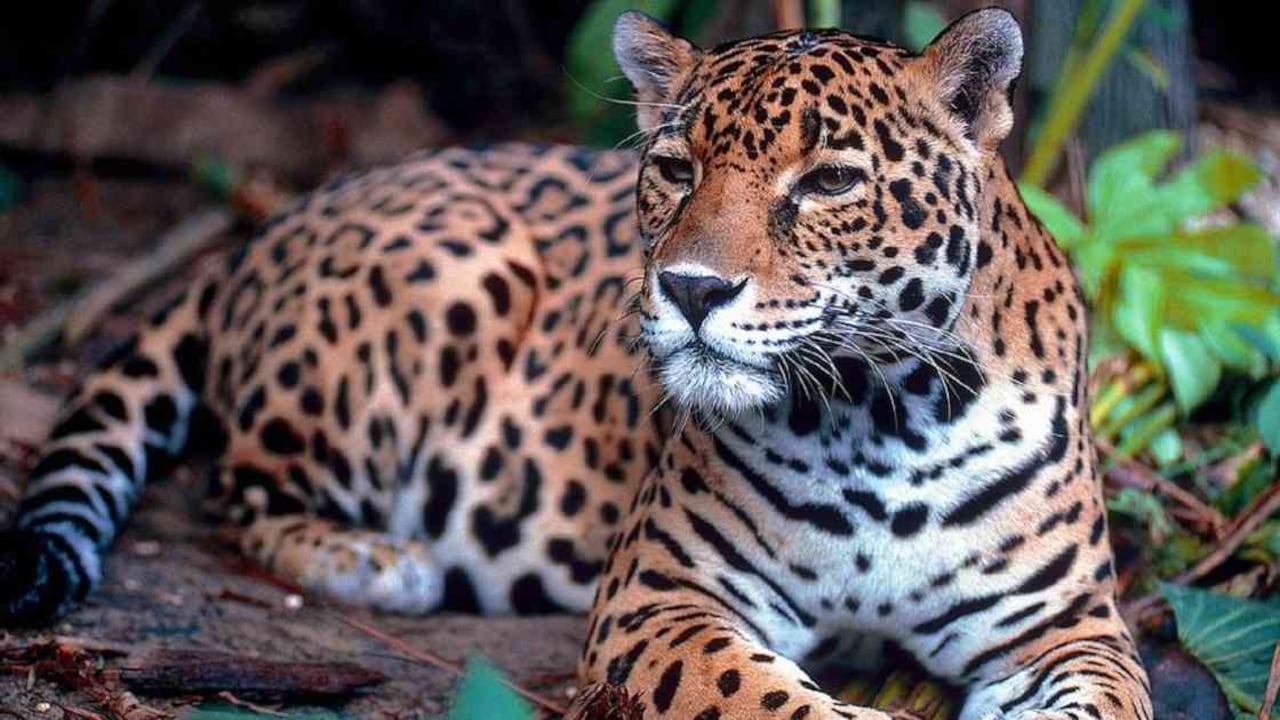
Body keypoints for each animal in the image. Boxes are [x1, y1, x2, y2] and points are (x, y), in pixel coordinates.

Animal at [1, 8, 1152, 720]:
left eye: (829, 181)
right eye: (675, 166)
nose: (690, 290)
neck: (879, 414)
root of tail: (267, 226)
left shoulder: (1071, 631)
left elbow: (1104, 701)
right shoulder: (664, 595)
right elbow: (765, 697)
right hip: (451, 272)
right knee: (237, 485)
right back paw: (374, 559)